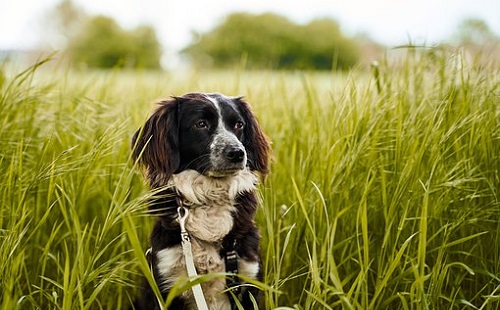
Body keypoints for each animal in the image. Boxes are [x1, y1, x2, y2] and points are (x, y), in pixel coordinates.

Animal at [130, 92, 270, 310]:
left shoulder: (248, 279)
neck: (210, 199)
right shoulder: (168, 281)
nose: (238, 153)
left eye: (239, 125)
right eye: (201, 124)